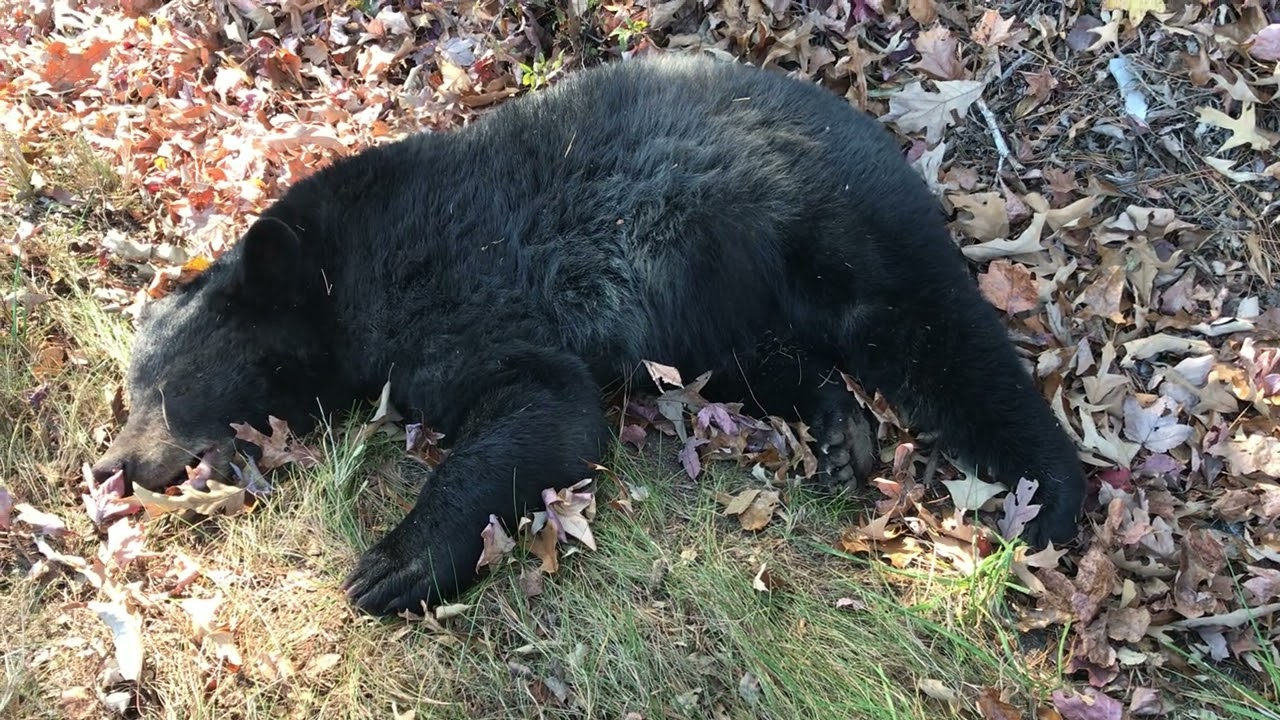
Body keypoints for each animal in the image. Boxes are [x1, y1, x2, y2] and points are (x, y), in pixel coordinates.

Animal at [94, 54, 1085, 609]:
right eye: (131, 388)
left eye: (161, 385)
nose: (109, 466)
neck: (342, 281)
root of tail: (879, 132)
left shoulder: (460, 294)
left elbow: (546, 407)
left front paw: (394, 562)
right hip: (712, 319)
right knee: (771, 363)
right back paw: (840, 431)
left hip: (827, 220)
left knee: (935, 337)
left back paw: (1051, 495)